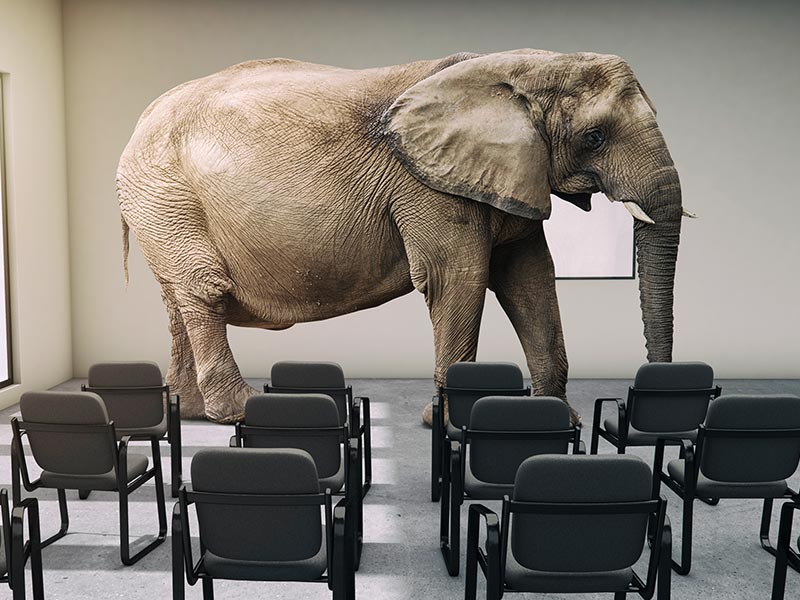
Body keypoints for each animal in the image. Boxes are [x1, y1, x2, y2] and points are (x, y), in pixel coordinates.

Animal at [117, 49, 690, 424]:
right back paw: (237, 412)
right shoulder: (427, 184)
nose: (645, 400)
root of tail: (138, 124)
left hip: (160, 207)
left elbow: (529, 278)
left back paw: (192, 414)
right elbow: (459, 278)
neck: (525, 66)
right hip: (167, 198)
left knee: (178, 303)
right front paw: (448, 425)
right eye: (594, 136)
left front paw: (557, 420)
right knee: (203, 292)